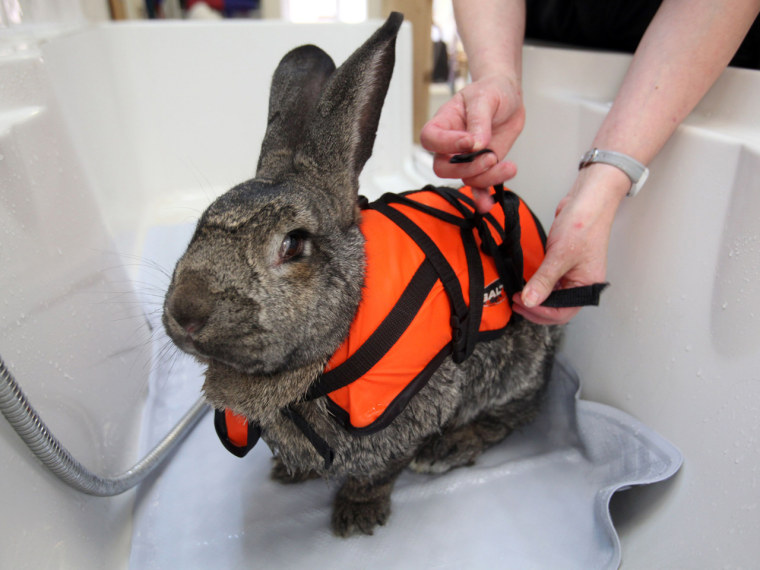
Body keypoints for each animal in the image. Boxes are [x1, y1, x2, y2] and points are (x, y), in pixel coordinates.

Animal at [163, 13, 560, 536]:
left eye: (293, 244)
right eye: (199, 226)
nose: (185, 312)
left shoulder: (408, 416)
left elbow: (380, 469)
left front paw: (357, 514)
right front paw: (289, 472)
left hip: (518, 366)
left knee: (516, 413)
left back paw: (449, 448)